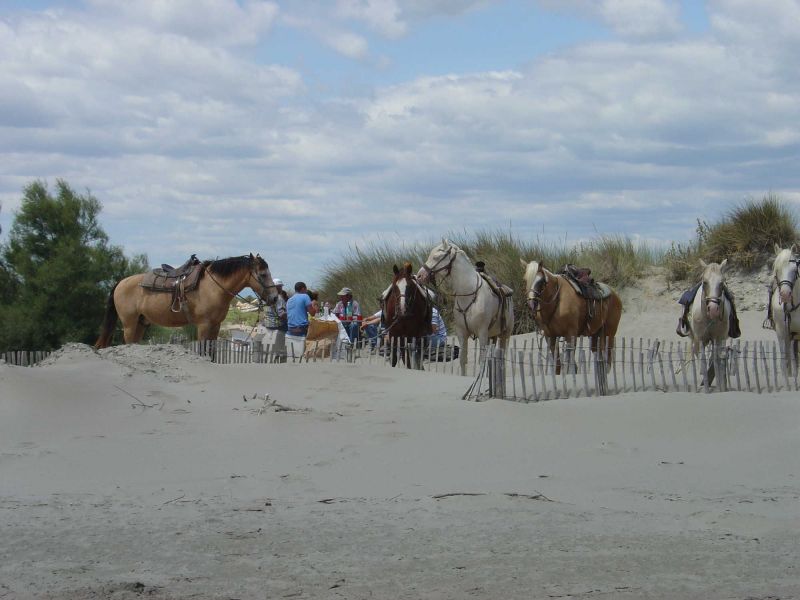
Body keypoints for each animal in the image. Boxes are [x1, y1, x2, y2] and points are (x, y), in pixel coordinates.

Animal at [95, 252, 278, 346]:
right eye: (263, 274)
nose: (275, 297)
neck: (214, 287)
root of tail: (120, 283)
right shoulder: (204, 325)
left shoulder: (215, 326)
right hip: (129, 324)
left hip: (141, 323)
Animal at [418, 239, 512, 376]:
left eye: (436, 257)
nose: (419, 276)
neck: (469, 293)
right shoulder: (462, 333)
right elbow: (463, 359)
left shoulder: (482, 332)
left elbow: (482, 360)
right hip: (492, 336)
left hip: (505, 334)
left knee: (502, 357)